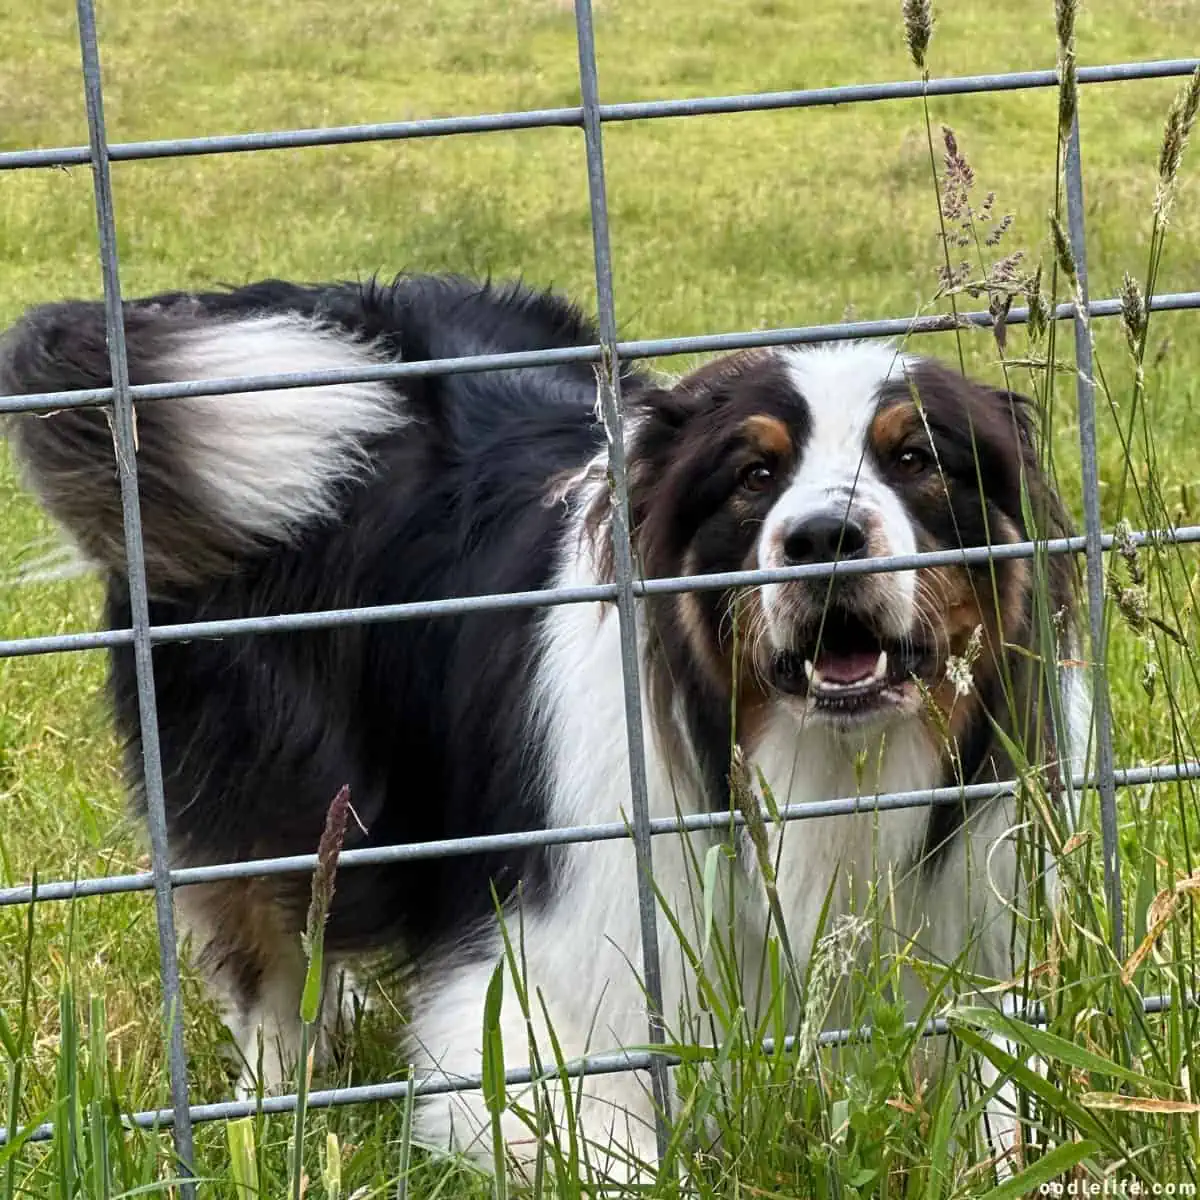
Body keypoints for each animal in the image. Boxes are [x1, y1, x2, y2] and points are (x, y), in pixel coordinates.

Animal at [2, 278, 1089, 1180]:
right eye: (753, 475)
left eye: (918, 459)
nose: (826, 537)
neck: (817, 758)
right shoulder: (537, 1012)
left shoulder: (979, 947)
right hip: (261, 769)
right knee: (265, 937)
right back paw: (278, 1099)